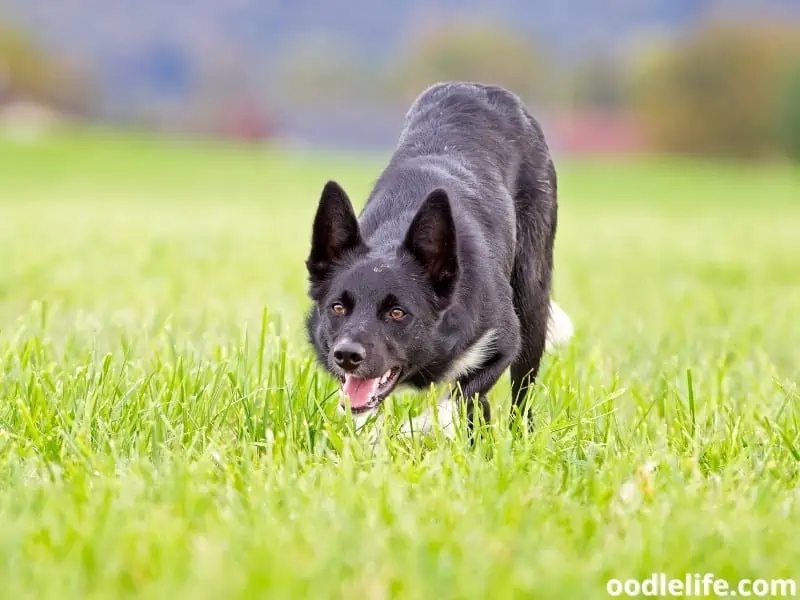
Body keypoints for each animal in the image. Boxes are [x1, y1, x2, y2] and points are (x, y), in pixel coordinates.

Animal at [304, 81, 572, 436]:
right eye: (337, 308)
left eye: (398, 313)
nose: (346, 355)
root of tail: (478, 86)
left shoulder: (502, 341)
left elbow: (451, 403)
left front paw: (413, 429)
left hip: (532, 300)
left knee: (520, 397)